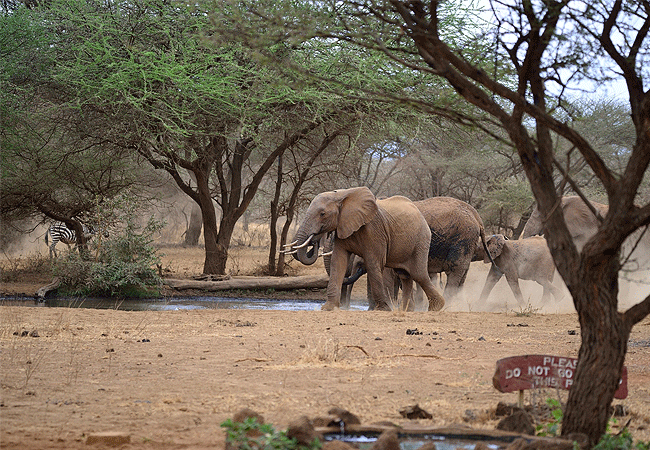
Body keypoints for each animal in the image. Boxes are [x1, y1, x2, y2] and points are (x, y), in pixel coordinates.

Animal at [286, 185, 442, 310]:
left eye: (322, 214)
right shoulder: (344, 226)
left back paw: (436, 307)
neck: (342, 195)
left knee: (419, 274)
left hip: (421, 240)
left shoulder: (374, 230)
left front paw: (382, 309)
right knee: (405, 275)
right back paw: (406, 310)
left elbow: (373, 264)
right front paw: (328, 308)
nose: (314, 240)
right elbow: (338, 262)